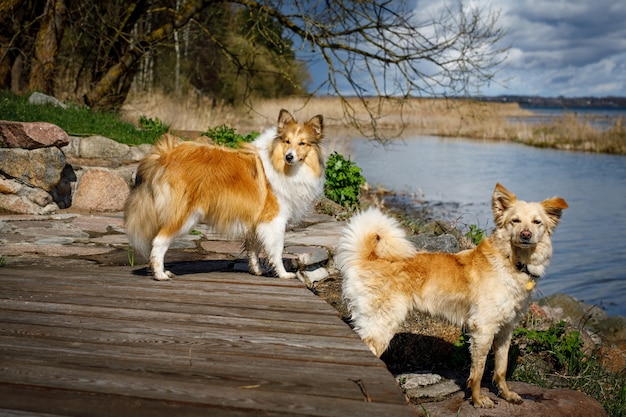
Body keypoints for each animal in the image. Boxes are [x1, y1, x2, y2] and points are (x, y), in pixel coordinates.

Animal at [123, 109, 324, 280]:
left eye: (302, 143)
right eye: (286, 141)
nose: (289, 157)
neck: (281, 163)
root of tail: (165, 153)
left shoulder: (255, 220)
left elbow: (254, 248)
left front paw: (257, 270)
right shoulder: (274, 220)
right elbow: (276, 249)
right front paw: (283, 274)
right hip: (184, 215)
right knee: (159, 242)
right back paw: (160, 275)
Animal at [336, 183, 564, 406]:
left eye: (537, 222)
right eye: (515, 221)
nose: (526, 235)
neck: (511, 261)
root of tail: (369, 256)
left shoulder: (506, 330)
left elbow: (501, 368)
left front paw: (506, 395)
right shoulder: (483, 329)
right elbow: (478, 371)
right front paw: (478, 400)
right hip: (382, 324)